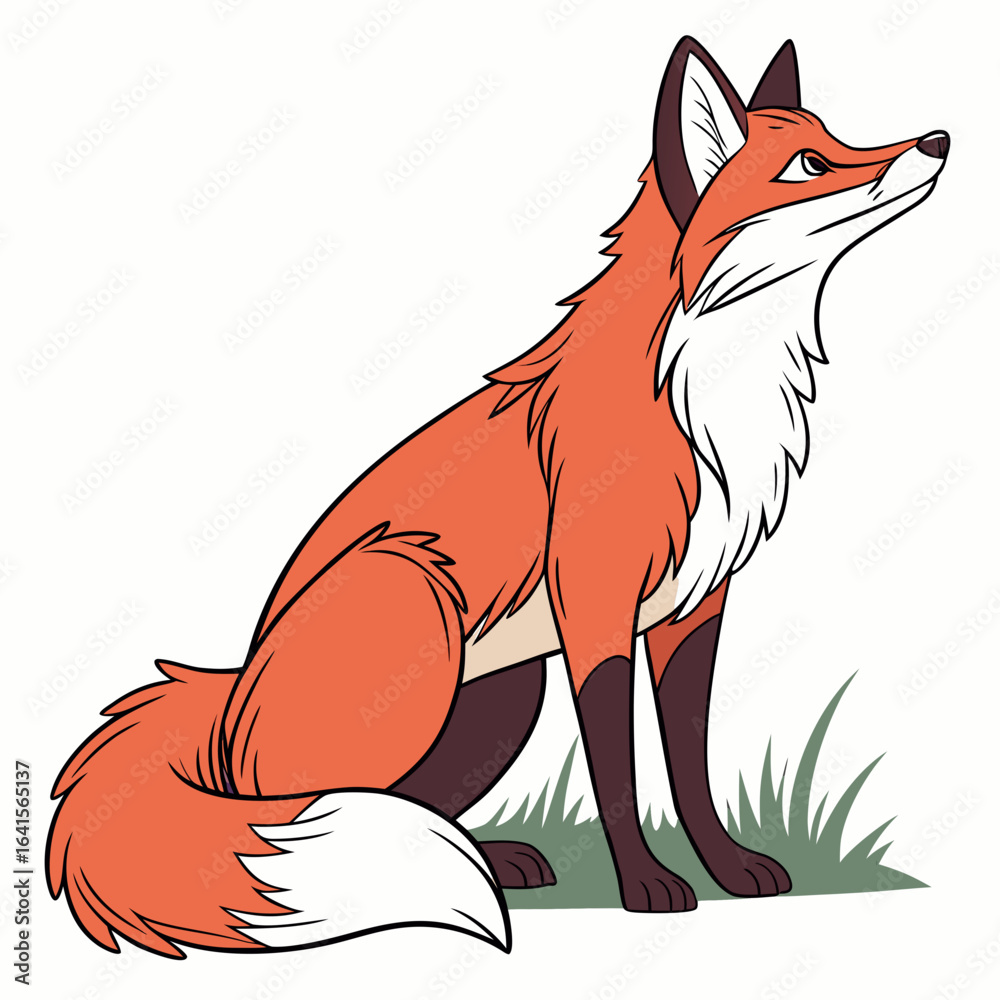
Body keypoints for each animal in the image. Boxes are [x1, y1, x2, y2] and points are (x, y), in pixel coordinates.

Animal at [47, 36, 948, 957]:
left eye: (836, 135)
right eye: (808, 165)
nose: (939, 141)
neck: (706, 390)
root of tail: (226, 699)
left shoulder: (694, 609)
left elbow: (689, 762)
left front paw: (729, 870)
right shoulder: (596, 609)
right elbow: (618, 767)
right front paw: (646, 887)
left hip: (504, 696)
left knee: (406, 805)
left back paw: (492, 861)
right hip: (412, 600)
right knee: (293, 817)